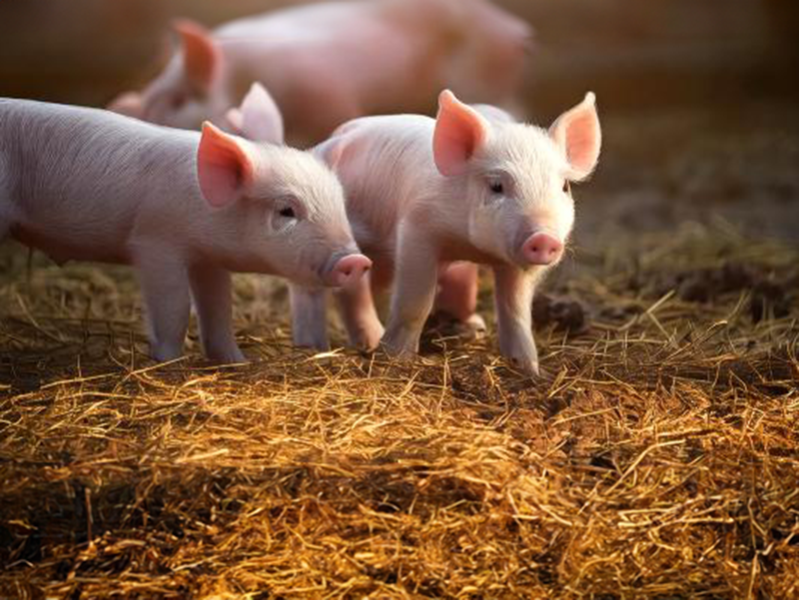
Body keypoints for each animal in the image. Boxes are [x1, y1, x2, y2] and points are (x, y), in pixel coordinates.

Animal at [0, 85, 370, 363]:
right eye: (286, 211)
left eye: (340, 203)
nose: (356, 260)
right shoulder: (154, 243)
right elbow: (176, 307)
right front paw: (169, 362)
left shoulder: (208, 259)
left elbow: (219, 310)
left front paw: (237, 361)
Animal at [290, 90, 601, 374]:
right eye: (497, 186)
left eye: (564, 187)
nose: (544, 238)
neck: (469, 245)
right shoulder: (416, 230)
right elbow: (416, 301)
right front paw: (397, 360)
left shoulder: (515, 265)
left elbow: (516, 313)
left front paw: (531, 371)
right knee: (327, 290)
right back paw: (324, 346)